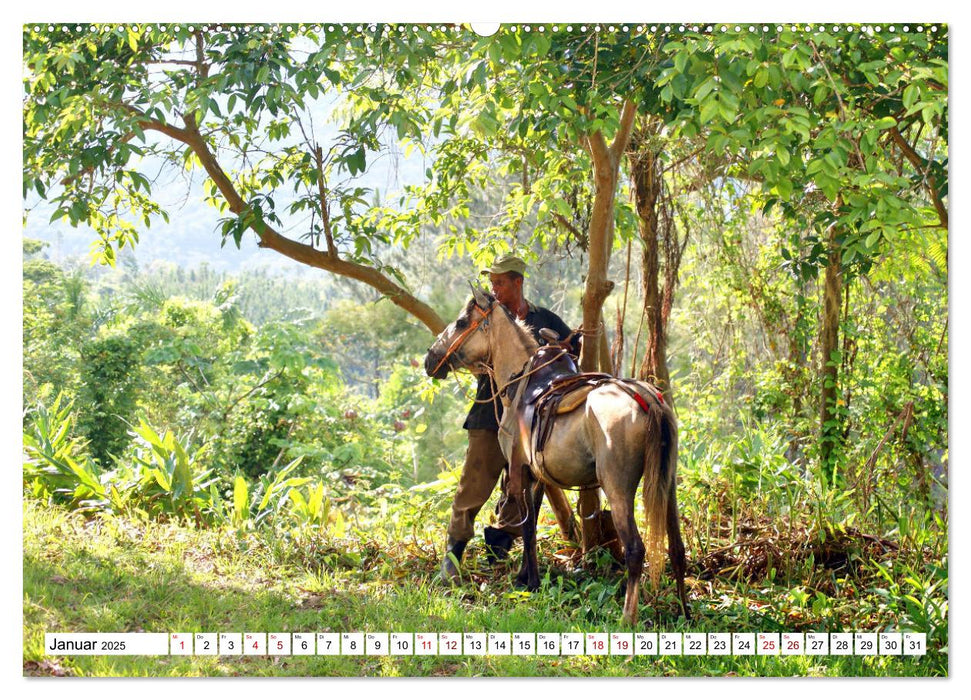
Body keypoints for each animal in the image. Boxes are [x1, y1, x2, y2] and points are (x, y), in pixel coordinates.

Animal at [426, 290, 692, 624]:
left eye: (462, 322)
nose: (430, 358)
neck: (521, 380)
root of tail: (649, 401)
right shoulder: (538, 475)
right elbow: (532, 523)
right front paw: (526, 576)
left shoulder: (521, 471)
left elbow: (527, 527)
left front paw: (529, 581)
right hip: (666, 485)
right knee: (677, 548)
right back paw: (685, 612)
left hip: (618, 488)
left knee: (635, 550)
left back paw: (628, 618)